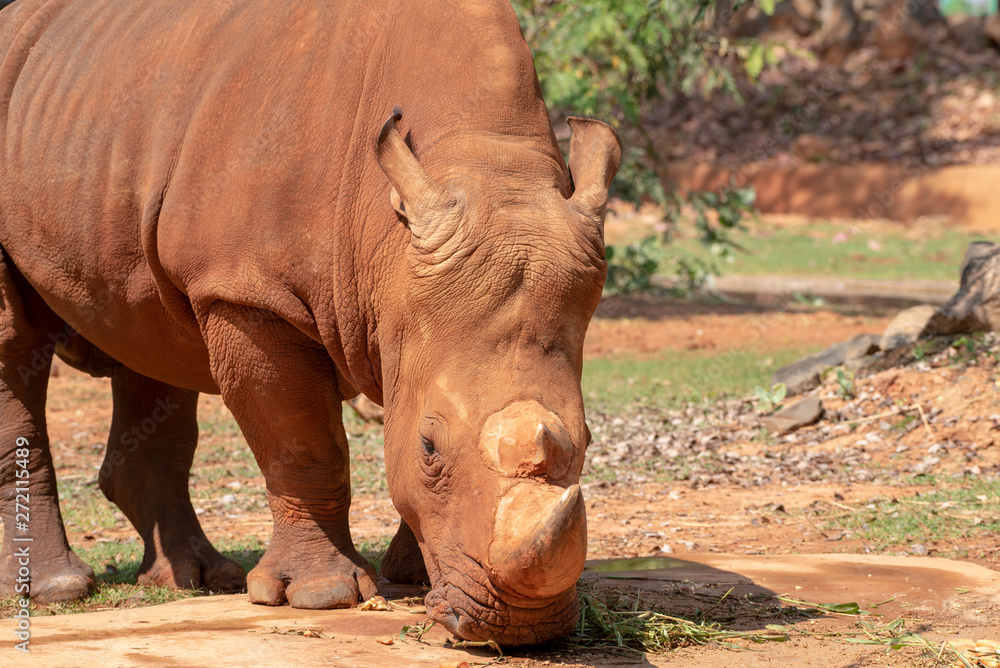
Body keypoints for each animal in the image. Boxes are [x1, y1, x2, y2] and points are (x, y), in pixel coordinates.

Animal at [0, 0, 620, 645]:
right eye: (429, 447)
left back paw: (197, 580)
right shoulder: (246, 290)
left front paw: (413, 578)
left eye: (588, 438)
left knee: (149, 335)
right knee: (17, 343)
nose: (525, 627)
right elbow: (302, 440)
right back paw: (54, 591)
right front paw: (322, 596)